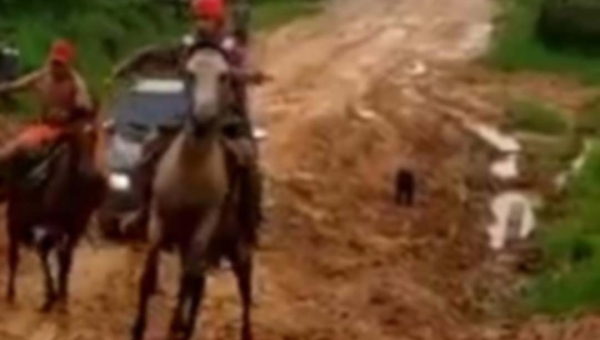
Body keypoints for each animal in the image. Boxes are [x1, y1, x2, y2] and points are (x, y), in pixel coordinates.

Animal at [5, 121, 108, 310]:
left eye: (94, 137)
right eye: (73, 142)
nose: (93, 177)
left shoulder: (74, 230)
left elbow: (65, 261)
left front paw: (61, 298)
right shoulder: (48, 227)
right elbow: (51, 258)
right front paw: (55, 298)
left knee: (44, 254)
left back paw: (51, 295)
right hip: (16, 224)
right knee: (15, 256)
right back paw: (11, 294)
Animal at [132, 47, 256, 340]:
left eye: (224, 76)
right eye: (189, 73)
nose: (202, 118)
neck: (190, 170)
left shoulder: (203, 228)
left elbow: (186, 280)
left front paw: (173, 326)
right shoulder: (158, 220)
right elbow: (149, 275)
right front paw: (138, 328)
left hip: (238, 245)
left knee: (243, 287)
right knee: (198, 284)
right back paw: (186, 327)